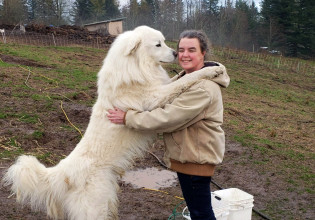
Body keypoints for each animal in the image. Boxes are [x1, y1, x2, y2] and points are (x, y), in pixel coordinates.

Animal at [1, 25, 225, 218]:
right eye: (158, 44)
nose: (176, 54)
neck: (135, 65)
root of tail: (64, 171)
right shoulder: (155, 97)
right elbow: (186, 79)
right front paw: (213, 71)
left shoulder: (159, 87)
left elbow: (178, 79)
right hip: (95, 207)